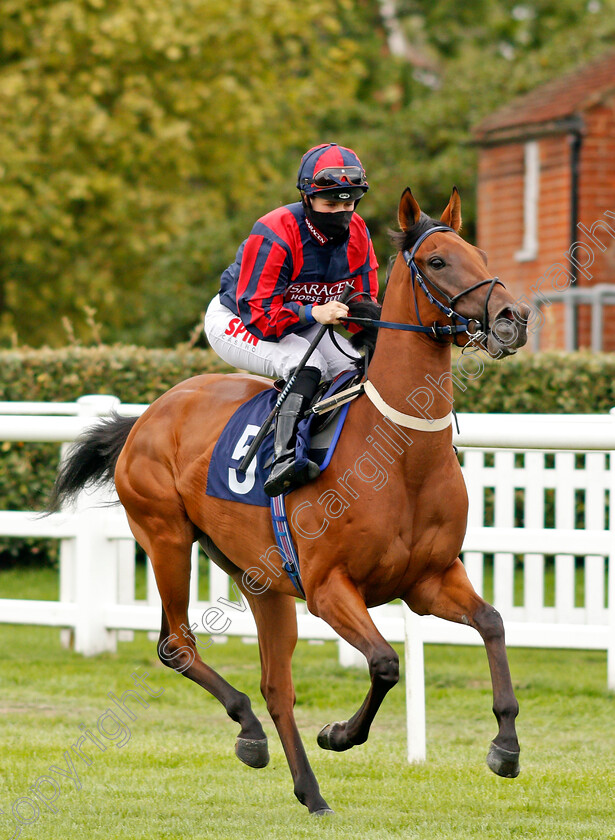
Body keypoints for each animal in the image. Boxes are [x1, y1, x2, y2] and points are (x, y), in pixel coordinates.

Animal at [49, 189, 528, 812]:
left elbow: (492, 623)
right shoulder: (328, 588)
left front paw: (506, 747)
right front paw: (341, 734)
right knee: (177, 645)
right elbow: (385, 663)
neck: (401, 457)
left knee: (276, 685)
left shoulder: (429, 580)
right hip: (166, 538)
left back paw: (305, 787)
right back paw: (252, 732)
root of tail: (147, 415)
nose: (512, 318)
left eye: (481, 254)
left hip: (261, 580)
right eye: (439, 261)